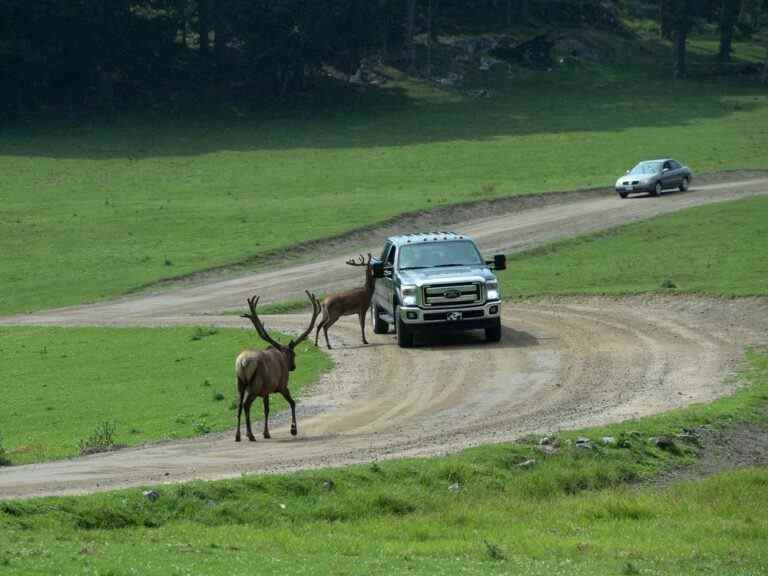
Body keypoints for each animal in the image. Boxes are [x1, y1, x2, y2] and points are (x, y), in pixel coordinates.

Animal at [232, 290, 320, 444]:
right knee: (246, 405)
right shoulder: (282, 386)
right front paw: (293, 429)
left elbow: (266, 409)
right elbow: (292, 403)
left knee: (239, 406)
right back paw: (251, 435)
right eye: (294, 354)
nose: (293, 367)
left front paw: (266, 433)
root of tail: (242, 362)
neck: (282, 357)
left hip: (240, 383)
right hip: (255, 385)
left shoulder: (266, 391)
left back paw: (238, 436)